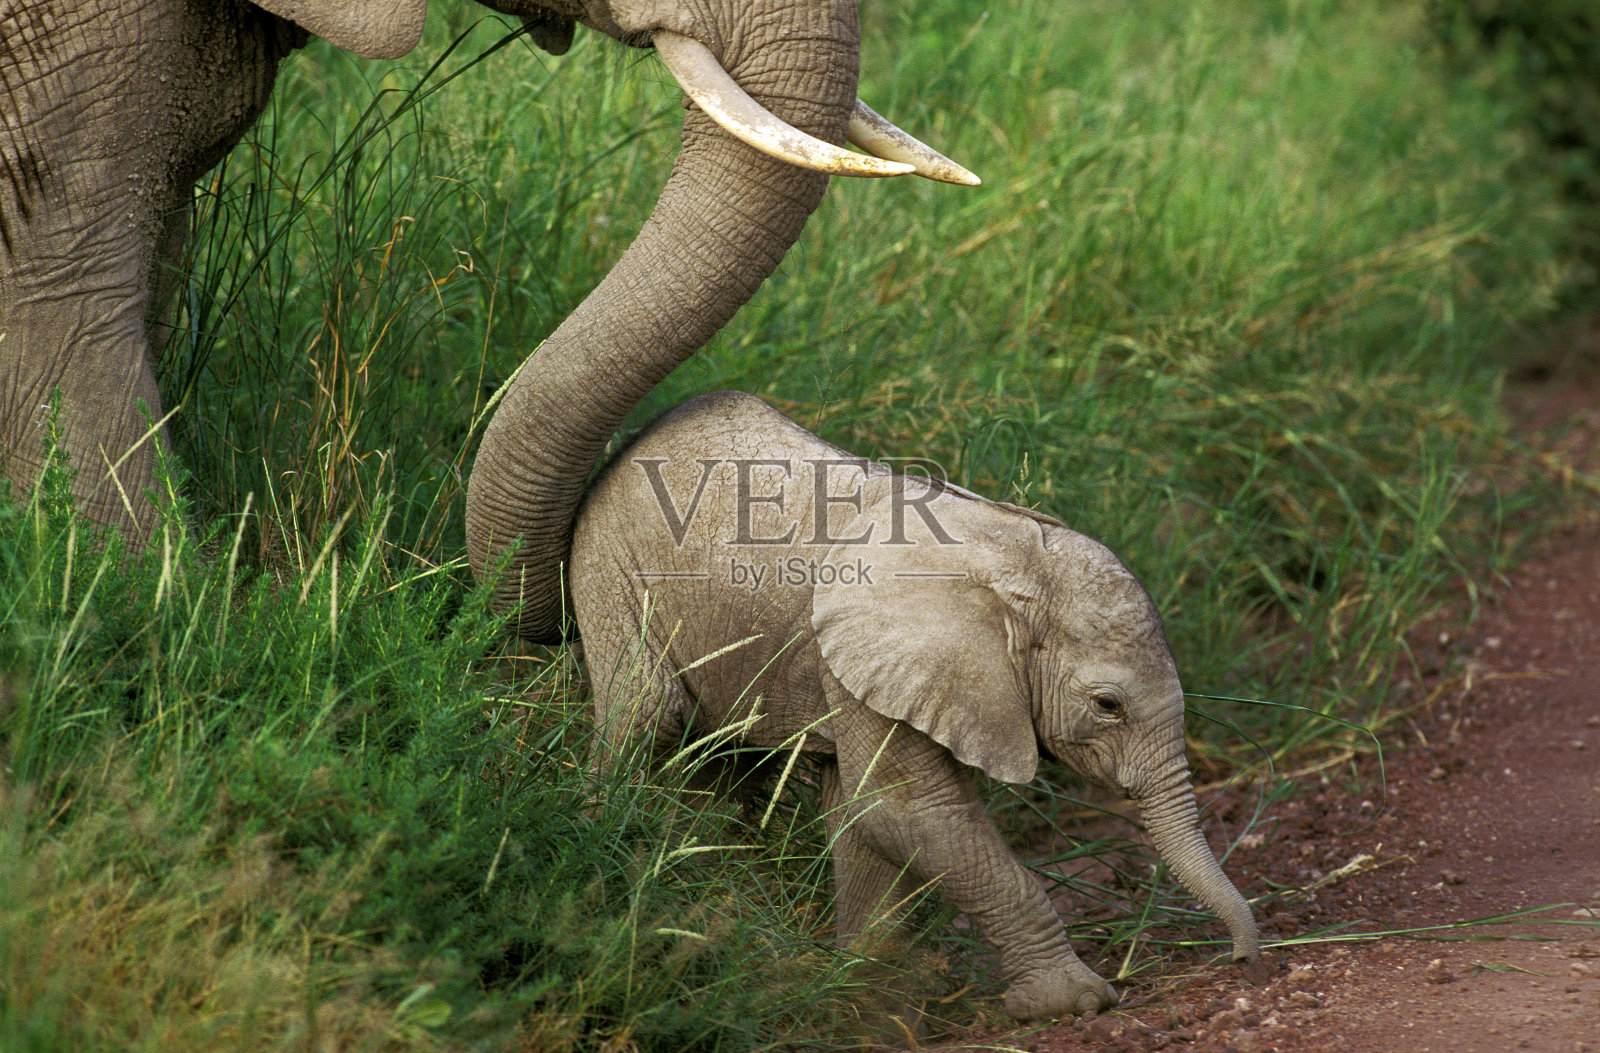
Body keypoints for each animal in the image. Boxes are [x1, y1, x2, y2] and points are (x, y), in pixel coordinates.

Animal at [568, 389, 1261, 1021]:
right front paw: (1071, 1003)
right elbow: (908, 812)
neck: (1014, 560)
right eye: (1108, 705)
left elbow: (863, 814)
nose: (1241, 960)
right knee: (649, 715)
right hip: (610, 567)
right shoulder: (873, 655)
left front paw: (869, 998)